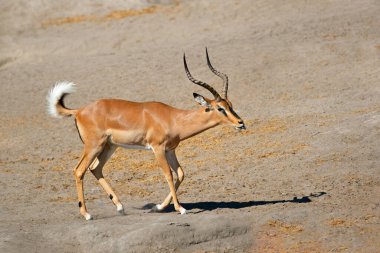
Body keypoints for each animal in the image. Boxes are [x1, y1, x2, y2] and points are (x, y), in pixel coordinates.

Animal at [46, 49, 246, 219]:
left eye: (230, 105)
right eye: (219, 108)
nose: (241, 123)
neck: (172, 118)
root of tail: (79, 110)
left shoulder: (170, 150)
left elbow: (180, 173)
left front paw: (158, 207)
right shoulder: (157, 148)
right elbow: (168, 174)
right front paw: (180, 209)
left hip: (110, 146)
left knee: (95, 168)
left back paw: (120, 208)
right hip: (94, 146)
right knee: (79, 170)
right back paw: (87, 214)